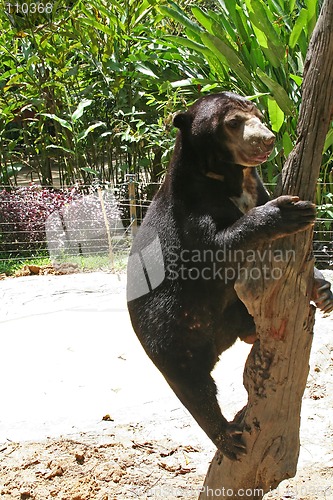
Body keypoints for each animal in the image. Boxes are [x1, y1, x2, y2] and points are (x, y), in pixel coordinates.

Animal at [125, 93, 332, 460]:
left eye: (261, 115)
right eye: (233, 123)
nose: (268, 139)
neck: (231, 178)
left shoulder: (256, 188)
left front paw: (323, 291)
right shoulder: (190, 211)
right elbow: (219, 246)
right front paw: (290, 210)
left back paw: (252, 332)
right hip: (168, 340)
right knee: (195, 389)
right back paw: (228, 437)